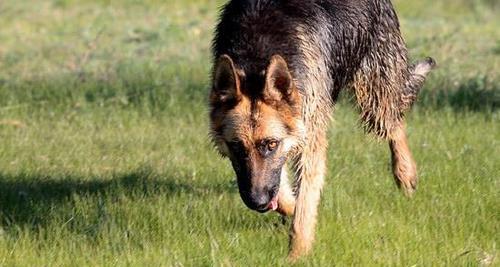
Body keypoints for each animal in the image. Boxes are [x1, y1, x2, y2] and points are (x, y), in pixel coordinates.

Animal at [207, 0, 434, 260]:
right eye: (236, 146)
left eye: (271, 144)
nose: (258, 202)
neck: (257, 59)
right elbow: (285, 194)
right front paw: (291, 209)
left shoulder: (309, 139)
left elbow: (304, 206)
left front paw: (297, 255)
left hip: (373, 93)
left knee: (394, 120)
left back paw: (405, 172)